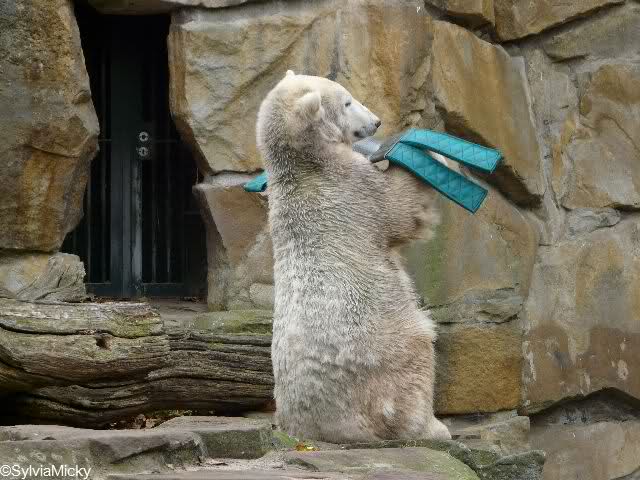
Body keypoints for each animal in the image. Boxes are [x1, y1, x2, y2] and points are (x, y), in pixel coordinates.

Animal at [256, 70, 451, 443]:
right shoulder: (353, 189)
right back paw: (433, 427)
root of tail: (331, 425)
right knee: (418, 353)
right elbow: (401, 206)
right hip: (385, 350)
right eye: (347, 102)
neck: (305, 165)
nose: (376, 122)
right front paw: (436, 154)